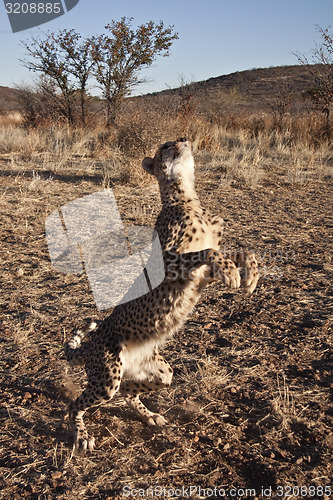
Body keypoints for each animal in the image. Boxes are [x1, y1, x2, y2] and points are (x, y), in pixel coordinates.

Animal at [64, 137, 256, 454]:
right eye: (166, 146)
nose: (183, 139)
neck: (187, 198)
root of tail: (90, 345)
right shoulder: (170, 265)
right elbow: (210, 251)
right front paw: (233, 273)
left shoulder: (204, 275)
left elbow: (242, 251)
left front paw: (250, 275)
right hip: (107, 376)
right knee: (77, 404)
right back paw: (81, 435)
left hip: (157, 371)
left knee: (131, 391)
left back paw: (149, 415)